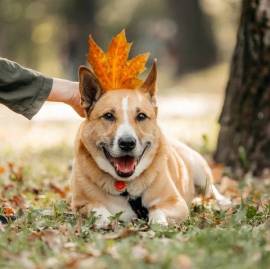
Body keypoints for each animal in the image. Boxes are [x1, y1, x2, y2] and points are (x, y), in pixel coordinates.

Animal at [70, 61, 231, 226]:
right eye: (108, 116)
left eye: (141, 116)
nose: (127, 143)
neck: (126, 185)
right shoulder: (79, 204)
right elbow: (97, 208)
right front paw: (105, 221)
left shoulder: (177, 203)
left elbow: (157, 211)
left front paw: (158, 223)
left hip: (199, 170)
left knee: (211, 189)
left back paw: (223, 201)